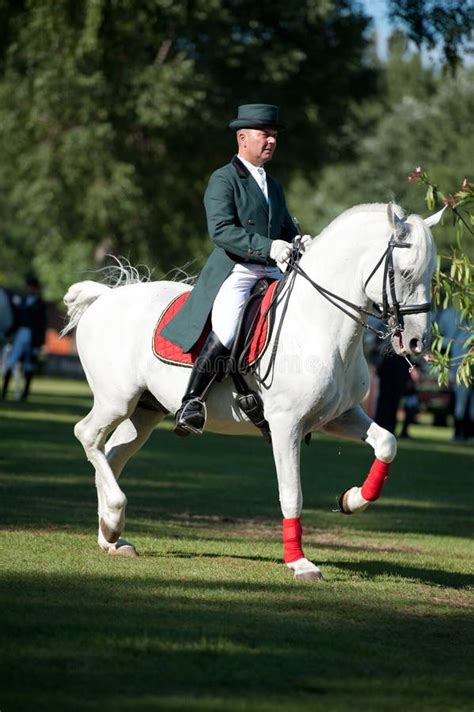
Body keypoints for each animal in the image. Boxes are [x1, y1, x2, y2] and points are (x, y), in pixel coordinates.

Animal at [65, 202, 442, 580]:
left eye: (430, 276)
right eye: (405, 273)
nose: (417, 342)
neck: (317, 325)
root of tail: (105, 297)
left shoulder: (340, 416)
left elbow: (387, 443)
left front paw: (351, 499)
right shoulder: (286, 425)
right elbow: (292, 494)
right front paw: (300, 562)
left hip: (145, 410)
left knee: (112, 454)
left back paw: (111, 534)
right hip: (117, 401)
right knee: (87, 435)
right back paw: (114, 516)